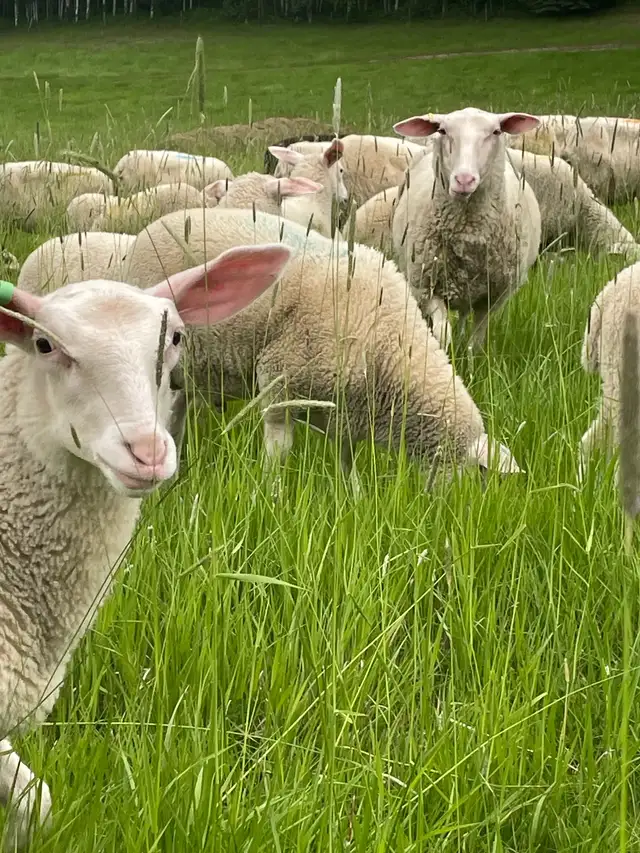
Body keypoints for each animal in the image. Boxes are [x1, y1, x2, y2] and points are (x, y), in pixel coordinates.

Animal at [124, 207, 522, 489]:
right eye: (476, 479)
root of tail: (151, 228)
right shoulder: (278, 380)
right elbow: (279, 451)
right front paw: (271, 495)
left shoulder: (348, 410)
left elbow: (347, 460)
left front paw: (354, 498)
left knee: (178, 409)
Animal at [392, 107, 542, 352]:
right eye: (442, 130)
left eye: (496, 131)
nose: (464, 179)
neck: (469, 232)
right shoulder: (426, 286)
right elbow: (443, 332)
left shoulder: (493, 297)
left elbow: (476, 340)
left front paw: (471, 358)